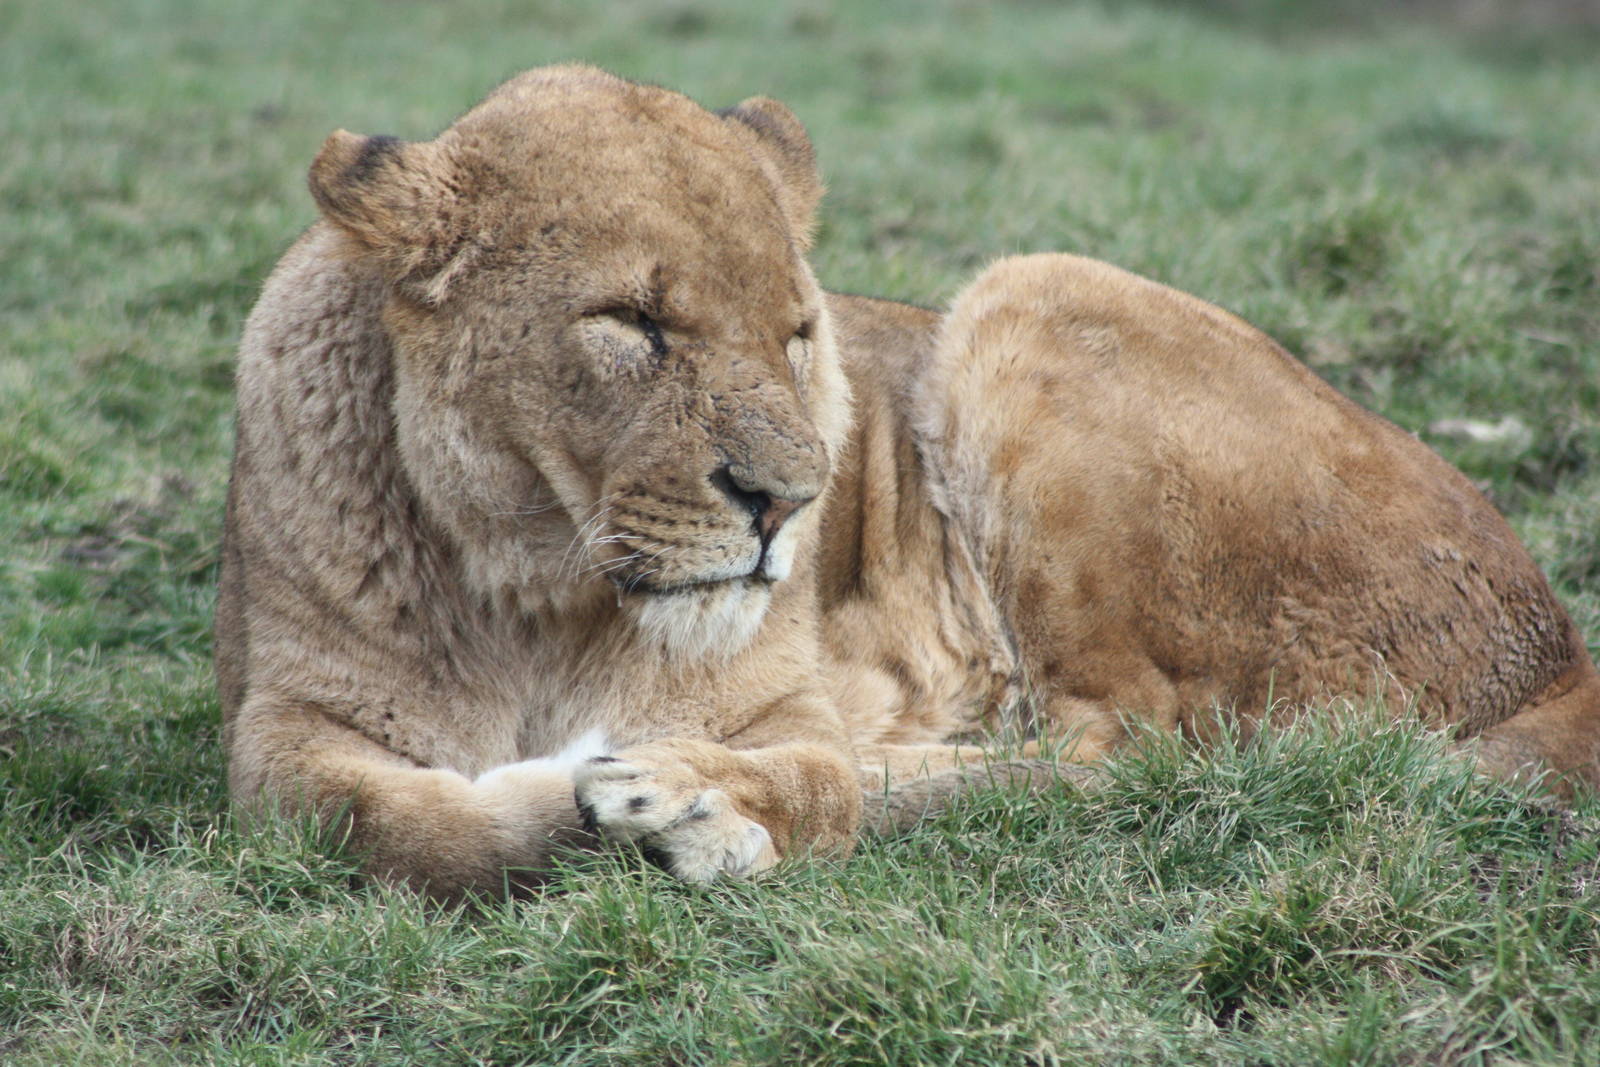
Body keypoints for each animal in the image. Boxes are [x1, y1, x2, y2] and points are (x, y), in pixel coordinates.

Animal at [217, 65, 1600, 897]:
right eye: (631, 324)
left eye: (796, 332)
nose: (786, 502)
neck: (536, 588)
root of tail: (1558, 647)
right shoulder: (281, 722)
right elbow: (393, 820)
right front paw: (593, 792)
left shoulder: (782, 702)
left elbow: (814, 771)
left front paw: (682, 798)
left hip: (1029, 296)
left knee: (1130, 759)